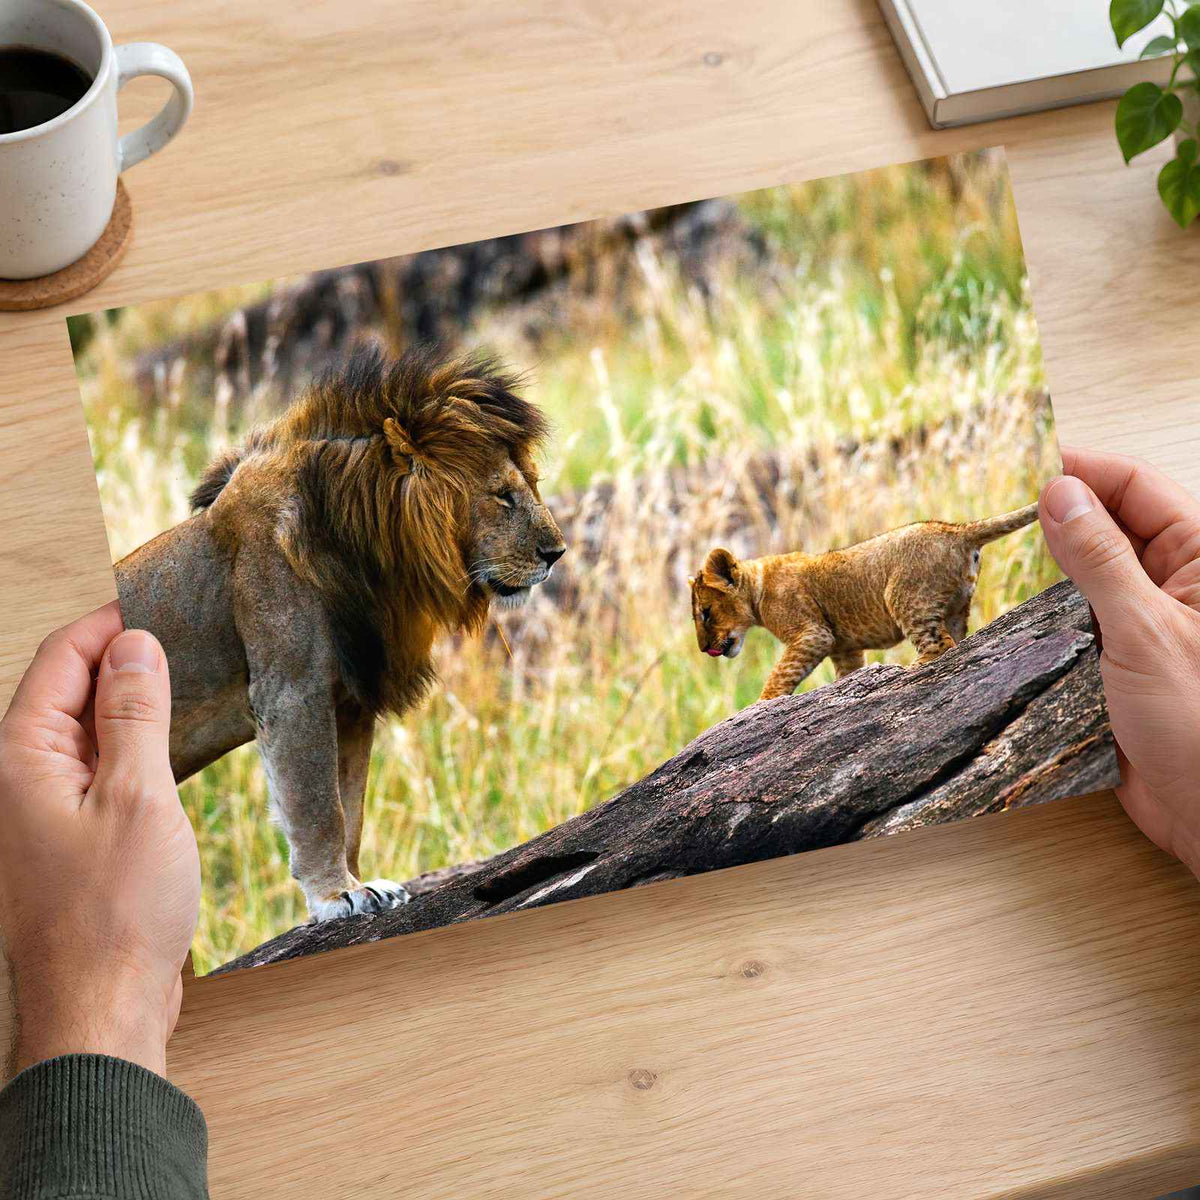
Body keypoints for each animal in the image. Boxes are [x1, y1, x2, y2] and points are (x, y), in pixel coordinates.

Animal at [116, 345, 566, 922]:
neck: (368, 552)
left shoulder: (350, 700)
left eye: (528, 486)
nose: (557, 553)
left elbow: (349, 805)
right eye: (504, 496)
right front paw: (335, 894)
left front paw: (362, 885)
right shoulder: (291, 691)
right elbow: (317, 805)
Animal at [689, 504, 1038, 700]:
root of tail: (956, 530)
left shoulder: (812, 634)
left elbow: (781, 673)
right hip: (955, 605)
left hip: (903, 596)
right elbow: (845, 673)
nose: (703, 650)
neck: (758, 588)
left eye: (705, 614)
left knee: (940, 645)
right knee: (955, 639)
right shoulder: (844, 649)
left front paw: (763, 703)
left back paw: (909, 670)